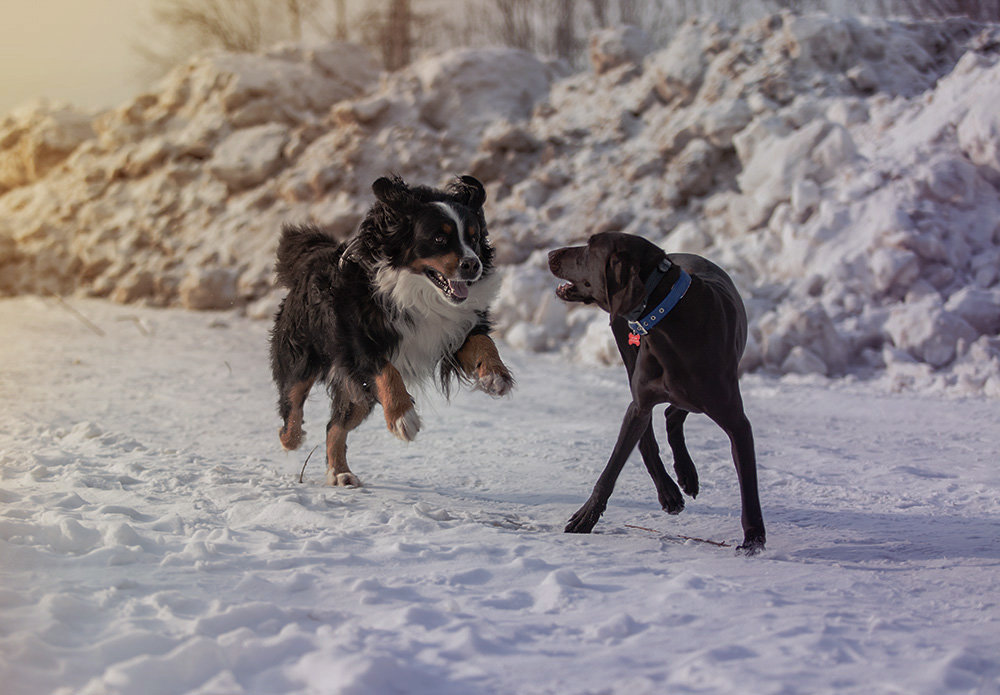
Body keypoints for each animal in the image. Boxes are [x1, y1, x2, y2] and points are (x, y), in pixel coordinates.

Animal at [268, 175, 512, 484]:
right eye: (439, 238)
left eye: (474, 238)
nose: (473, 264)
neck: (421, 293)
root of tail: (309, 263)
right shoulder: (357, 342)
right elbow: (387, 371)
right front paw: (403, 418)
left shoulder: (453, 329)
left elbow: (483, 342)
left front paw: (495, 376)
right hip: (302, 359)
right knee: (293, 404)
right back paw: (291, 437)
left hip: (358, 393)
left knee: (334, 426)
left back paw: (340, 473)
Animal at [548, 232, 764, 556]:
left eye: (590, 247)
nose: (551, 254)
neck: (665, 315)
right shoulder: (640, 402)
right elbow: (611, 470)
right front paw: (587, 516)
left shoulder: (737, 423)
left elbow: (748, 484)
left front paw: (753, 539)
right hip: (632, 362)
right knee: (651, 431)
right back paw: (670, 490)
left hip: (692, 395)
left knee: (672, 414)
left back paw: (686, 473)